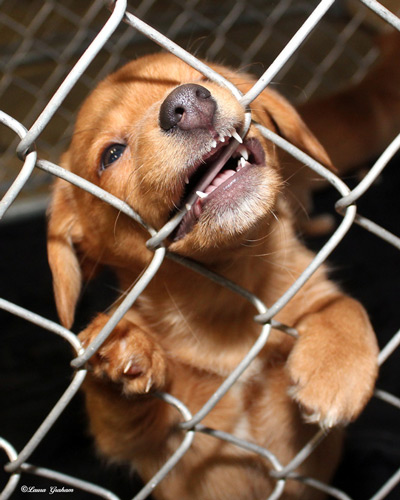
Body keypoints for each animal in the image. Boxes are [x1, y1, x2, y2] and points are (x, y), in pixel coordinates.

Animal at [46, 52, 378, 498]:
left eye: (206, 77)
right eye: (111, 155)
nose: (187, 102)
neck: (226, 300)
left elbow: (343, 303)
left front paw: (338, 368)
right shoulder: (142, 443)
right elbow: (114, 406)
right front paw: (118, 346)